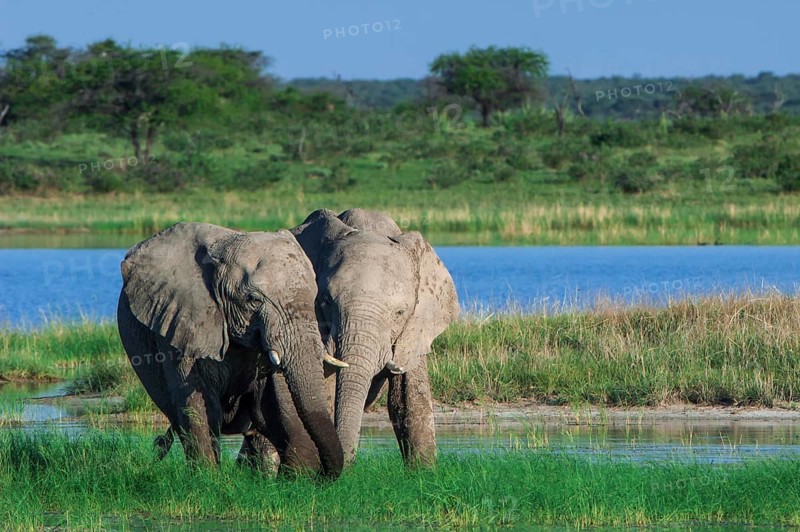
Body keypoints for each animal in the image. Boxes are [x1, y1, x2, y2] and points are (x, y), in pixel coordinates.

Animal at [116, 222, 345, 478]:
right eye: (254, 300)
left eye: (315, 297)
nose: (323, 475)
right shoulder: (179, 320)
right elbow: (199, 406)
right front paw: (207, 477)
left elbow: (273, 403)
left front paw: (296, 478)